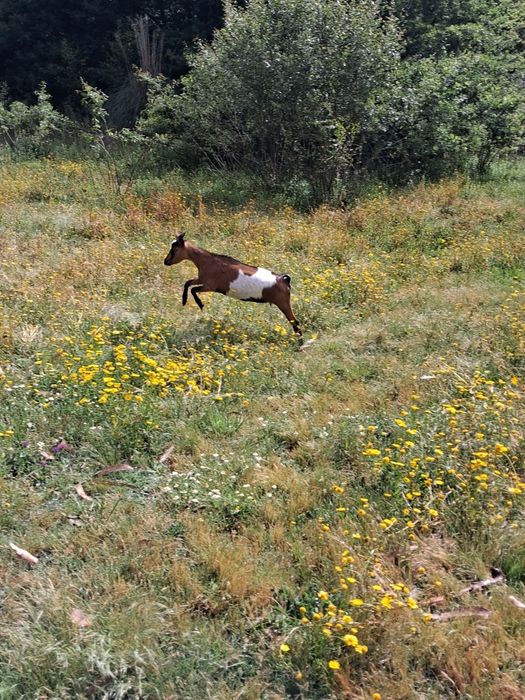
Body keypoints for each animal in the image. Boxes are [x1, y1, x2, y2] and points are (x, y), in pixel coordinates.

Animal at [164, 233, 302, 335]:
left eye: (175, 250)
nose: (166, 261)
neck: (207, 261)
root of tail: (284, 279)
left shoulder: (209, 286)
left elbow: (193, 289)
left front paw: (200, 304)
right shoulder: (201, 279)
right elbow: (187, 283)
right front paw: (184, 301)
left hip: (283, 303)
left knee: (295, 322)